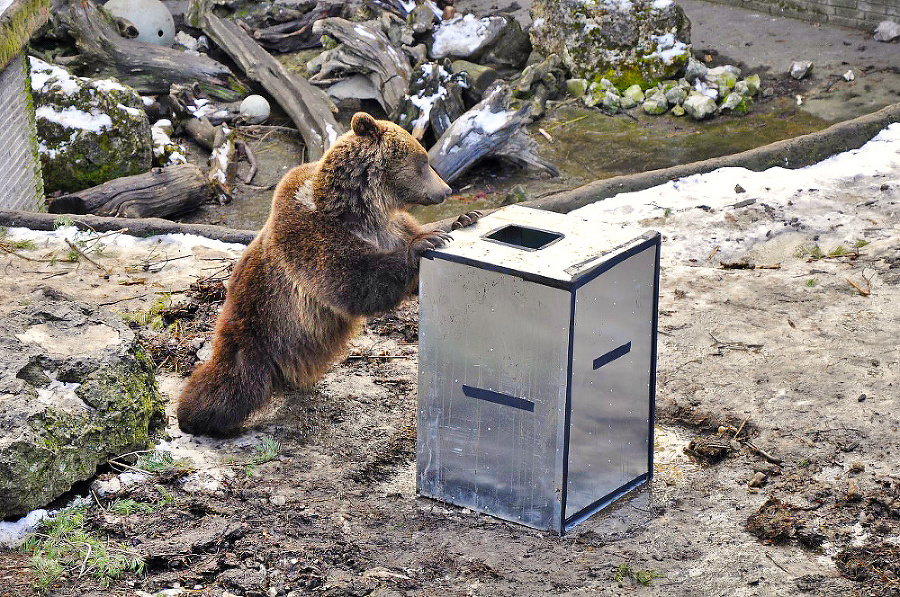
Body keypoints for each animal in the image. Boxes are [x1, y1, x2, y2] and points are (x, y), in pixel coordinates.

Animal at [178, 112, 482, 436]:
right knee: (229, 384)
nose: (446, 190)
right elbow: (354, 282)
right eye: (423, 161)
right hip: (257, 327)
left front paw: (463, 219)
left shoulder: (391, 228)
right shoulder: (308, 238)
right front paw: (426, 242)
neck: (361, 210)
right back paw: (192, 416)